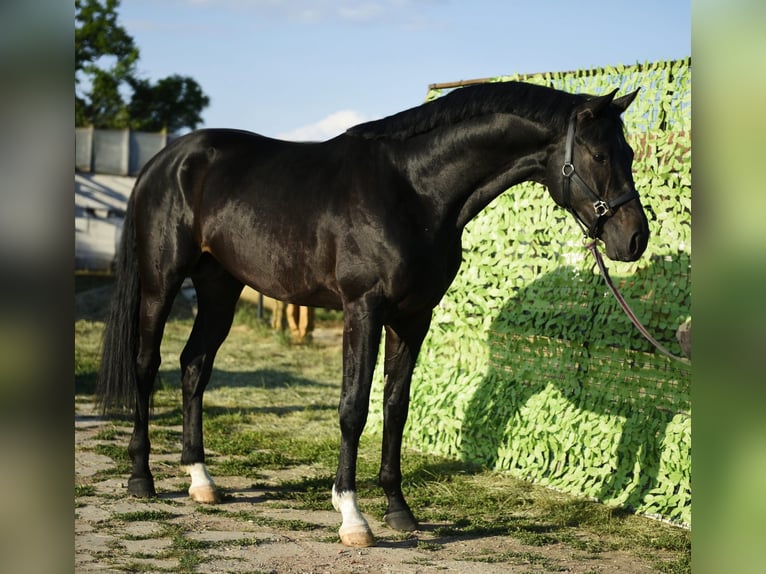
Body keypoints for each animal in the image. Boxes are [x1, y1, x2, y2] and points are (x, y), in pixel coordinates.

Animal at [97, 81, 649, 547]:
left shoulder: (414, 317)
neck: (413, 190)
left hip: (220, 287)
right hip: (162, 282)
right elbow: (353, 408)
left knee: (194, 366)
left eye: (629, 152)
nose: (635, 238)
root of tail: (166, 160)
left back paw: (201, 480)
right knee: (147, 365)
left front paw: (399, 510)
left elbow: (395, 407)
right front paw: (352, 518)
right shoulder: (362, 309)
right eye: (600, 154)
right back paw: (141, 477)